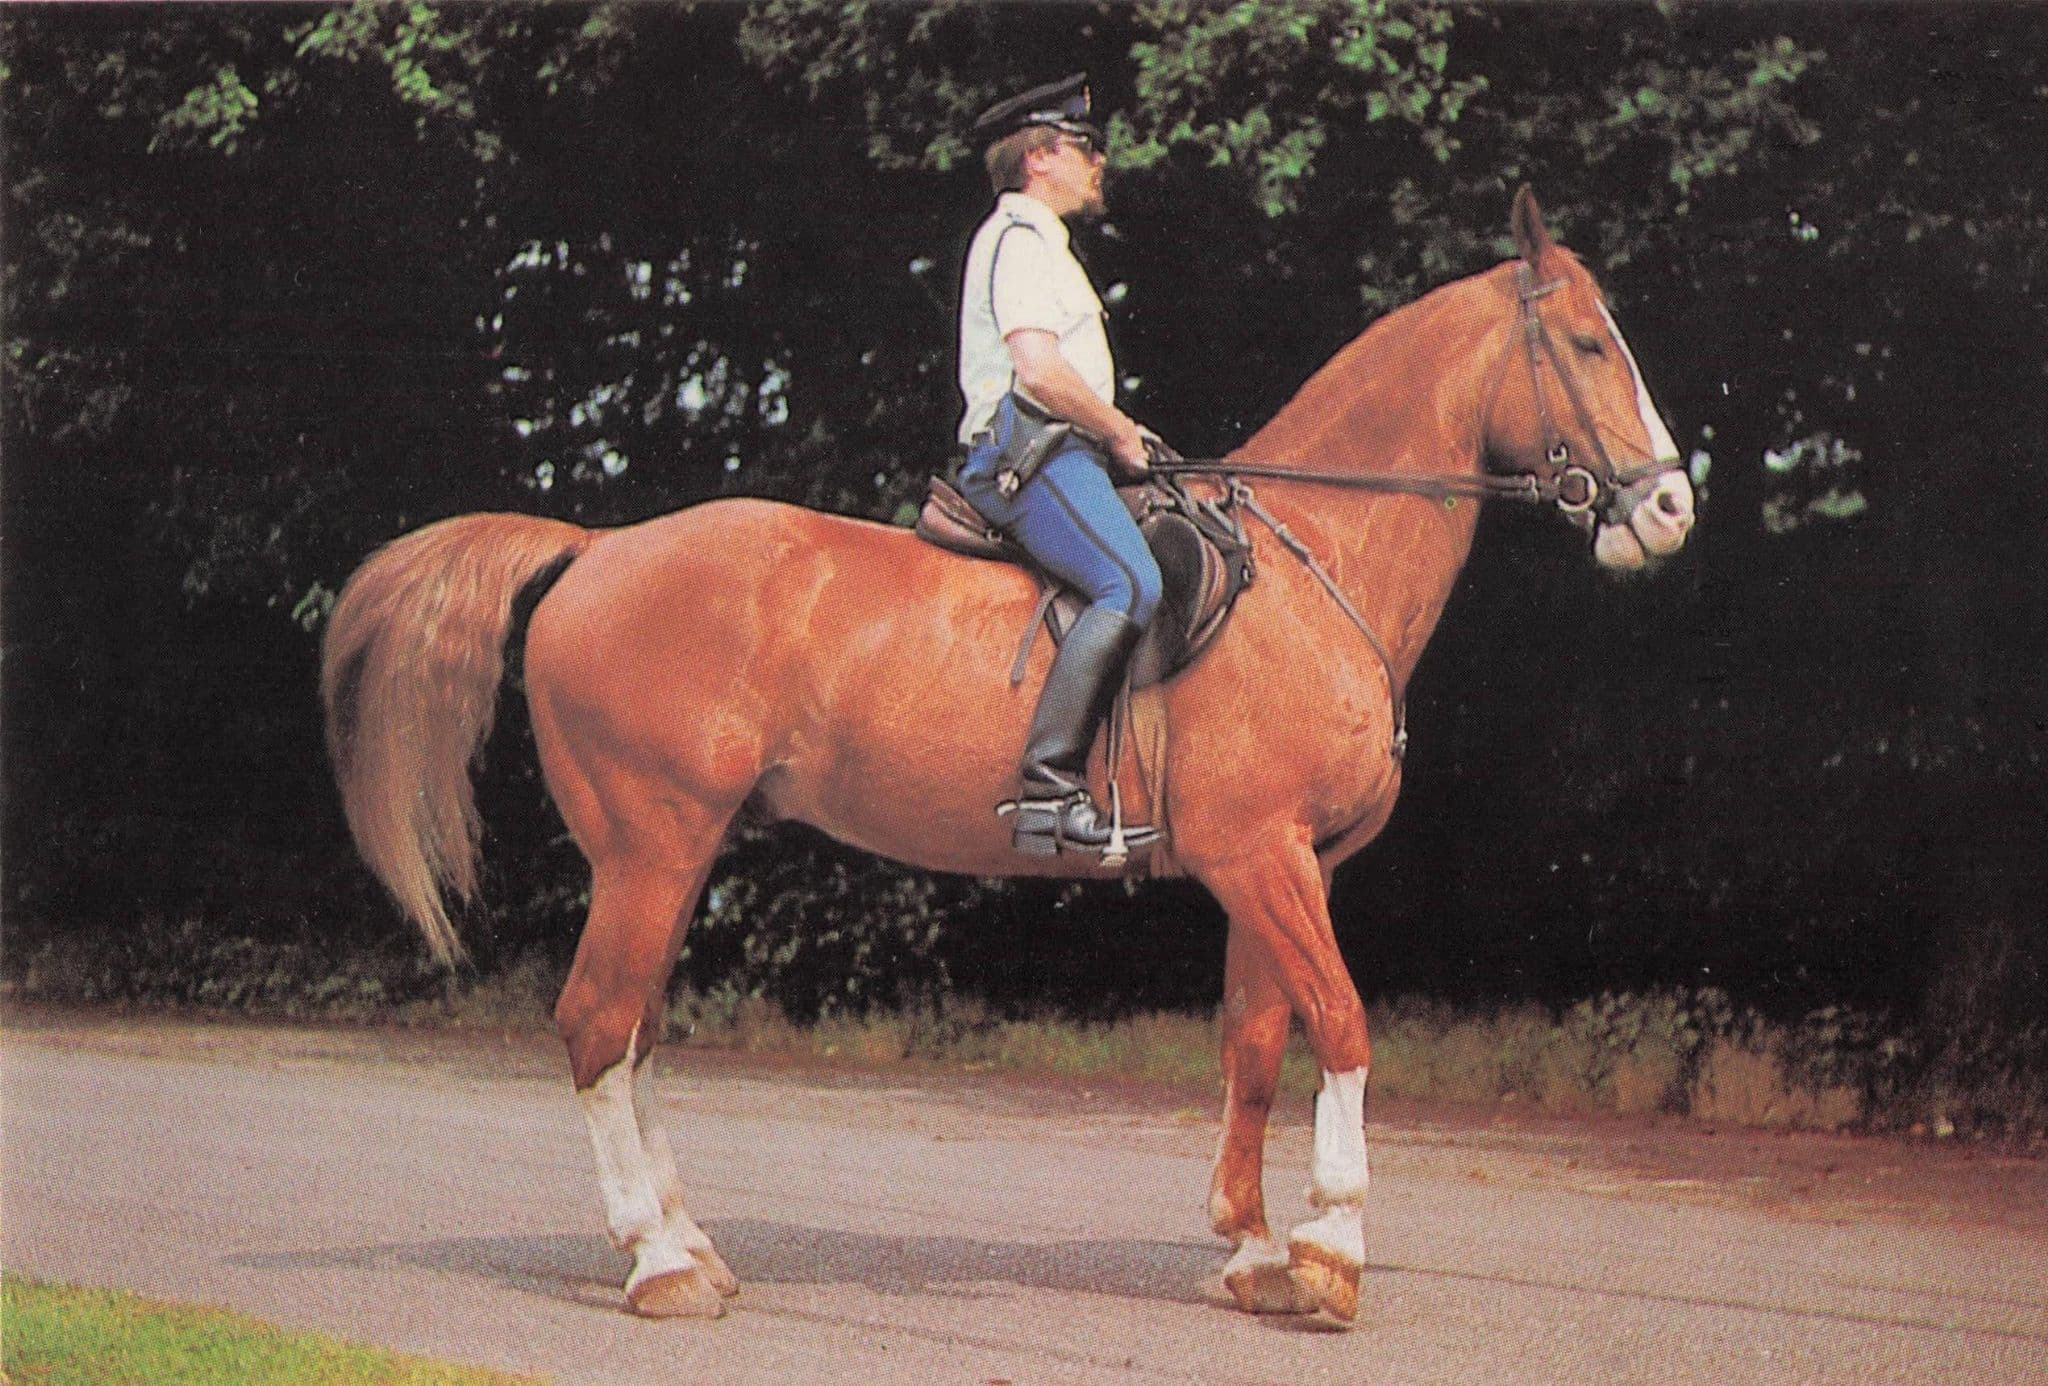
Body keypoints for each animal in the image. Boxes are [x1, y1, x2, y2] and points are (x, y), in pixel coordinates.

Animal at [320, 188, 1695, 1326]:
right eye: (1586, 345)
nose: (1672, 506)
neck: (1313, 559)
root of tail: (598, 546)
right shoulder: (1262, 857)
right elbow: (1343, 1025)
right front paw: (1331, 1251)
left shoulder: (1281, 864)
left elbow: (1256, 1042)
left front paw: (1254, 1254)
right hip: (651, 844)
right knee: (600, 1022)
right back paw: (659, 1266)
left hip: (669, 855)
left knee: (636, 1026)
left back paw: (687, 1242)